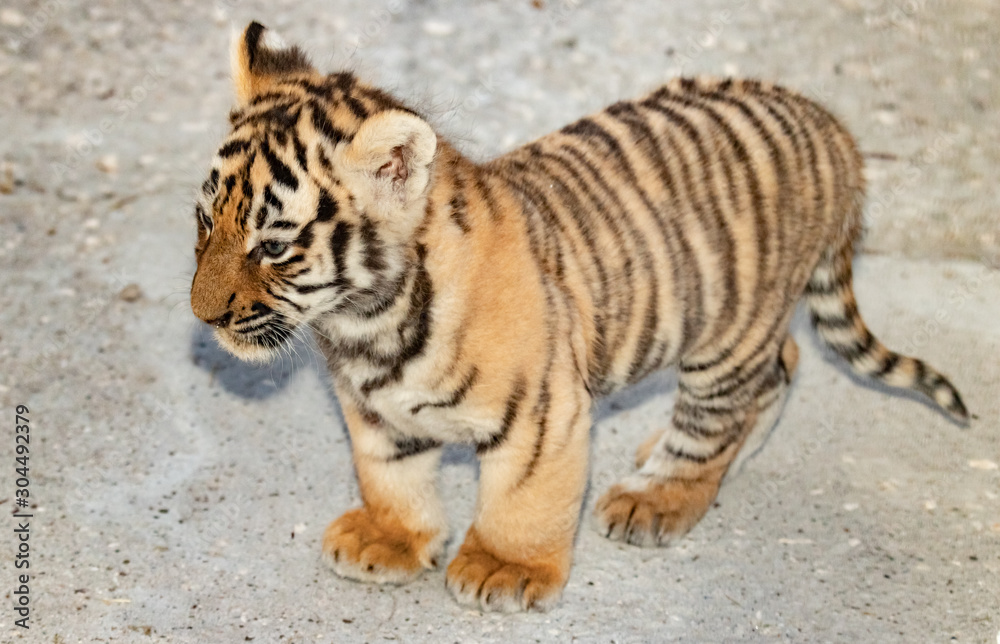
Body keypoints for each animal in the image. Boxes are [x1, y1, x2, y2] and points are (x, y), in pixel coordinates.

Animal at [189, 22, 968, 612]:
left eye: (273, 246)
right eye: (205, 222)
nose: (203, 317)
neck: (365, 323)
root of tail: (832, 127)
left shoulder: (543, 413)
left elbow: (524, 501)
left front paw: (504, 570)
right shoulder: (372, 411)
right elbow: (389, 475)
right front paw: (389, 540)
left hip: (727, 332)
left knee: (722, 413)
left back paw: (658, 498)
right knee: (785, 366)